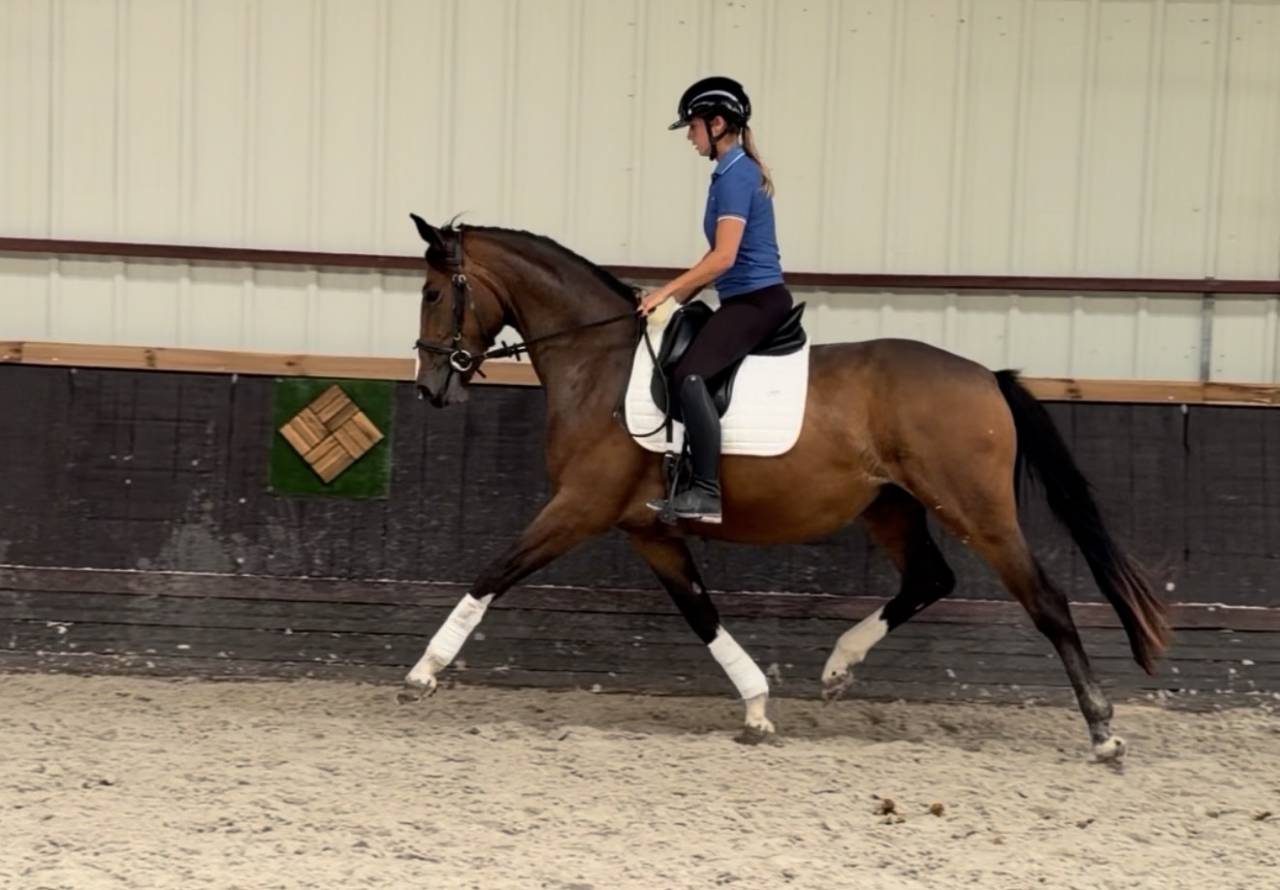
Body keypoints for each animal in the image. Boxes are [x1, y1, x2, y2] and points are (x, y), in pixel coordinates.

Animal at [398, 214, 1172, 760]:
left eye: (434, 293)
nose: (430, 386)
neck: (599, 360)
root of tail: (988, 377)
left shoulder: (580, 508)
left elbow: (493, 572)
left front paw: (423, 672)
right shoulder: (647, 528)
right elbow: (702, 613)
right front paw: (758, 708)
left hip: (975, 509)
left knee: (1044, 597)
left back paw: (1103, 730)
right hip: (891, 507)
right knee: (930, 578)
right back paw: (839, 665)